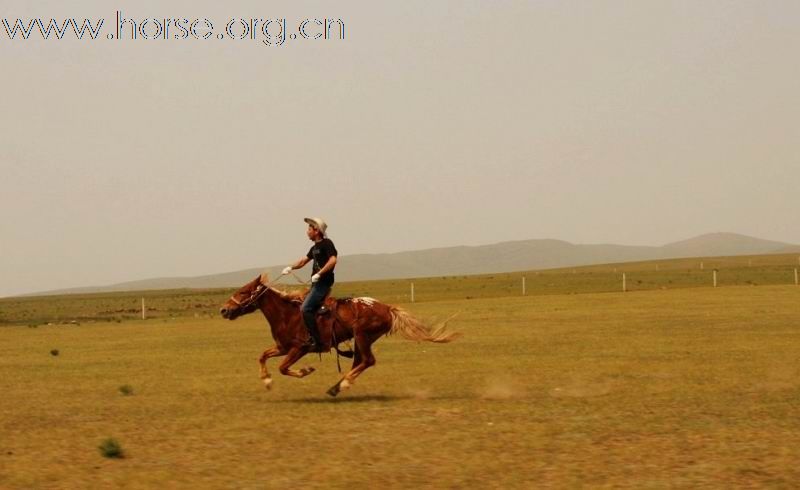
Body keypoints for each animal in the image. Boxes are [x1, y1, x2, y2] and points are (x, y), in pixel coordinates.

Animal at [219, 274, 460, 396]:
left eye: (243, 291)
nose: (223, 310)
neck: (287, 314)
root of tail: (387, 308)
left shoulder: (300, 348)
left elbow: (283, 367)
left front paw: (306, 370)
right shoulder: (283, 347)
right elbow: (262, 356)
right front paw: (267, 381)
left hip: (363, 336)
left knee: (368, 361)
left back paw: (343, 385)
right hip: (362, 340)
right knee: (359, 362)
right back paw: (336, 386)